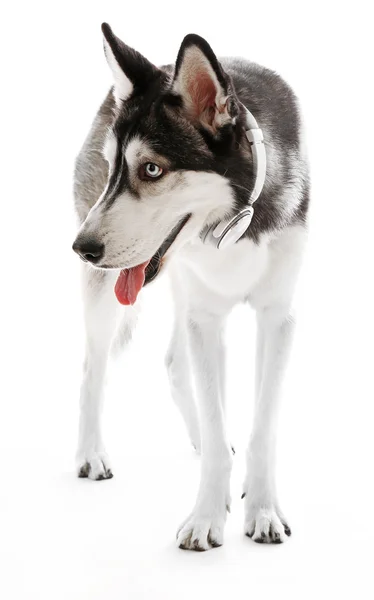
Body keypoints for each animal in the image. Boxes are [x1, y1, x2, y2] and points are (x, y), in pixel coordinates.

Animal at [72, 22, 310, 548]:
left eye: (152, 169)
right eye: (114, 166)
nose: (81, 248)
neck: (234, 223)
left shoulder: (277, 317)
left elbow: (262, 426)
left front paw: (262, 510)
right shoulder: (206, 317)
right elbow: (215, 412)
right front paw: (206, 517)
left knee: (178, 366)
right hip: (107, 296)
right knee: (94, 366)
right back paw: (91, 453)